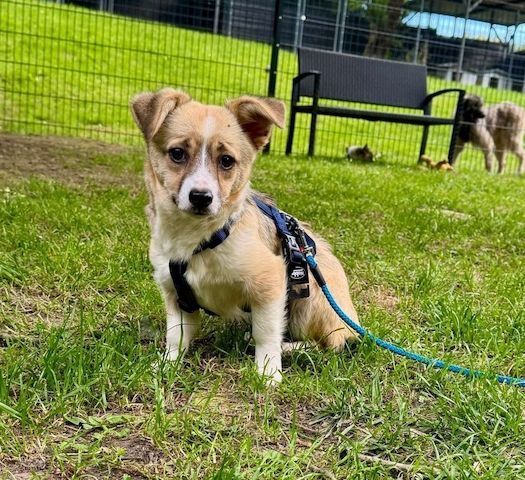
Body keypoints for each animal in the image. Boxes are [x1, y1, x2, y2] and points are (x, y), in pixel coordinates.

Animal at [130, 88, 359, 383]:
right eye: (177, 153)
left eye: (227, 161)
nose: (201, 197)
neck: (200, 238)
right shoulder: (177, 295)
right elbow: (176, 337)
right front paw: (167, 365)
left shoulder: (270, 283)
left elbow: (266, 333)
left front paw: (268, 372)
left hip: (310, 299)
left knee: (329, 343)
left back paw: (289, 347)